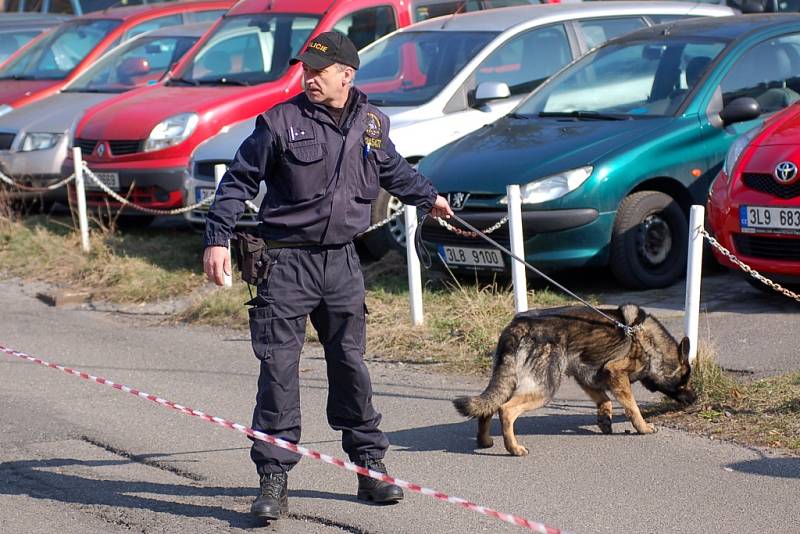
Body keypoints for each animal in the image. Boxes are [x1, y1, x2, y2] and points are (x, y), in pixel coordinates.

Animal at [454, 306, 696, 456]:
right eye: (686, 381)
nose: (695, 399)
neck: (652, 345)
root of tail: (518, 327)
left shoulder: (585, 376)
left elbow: (605, 400)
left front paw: (605, 420)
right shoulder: (616, 373)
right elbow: (633, 407)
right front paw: (643, 427)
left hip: (509, 380)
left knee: (488, 407)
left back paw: (484, 441)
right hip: (544, 389)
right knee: (505, 409)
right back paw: (513, 448)